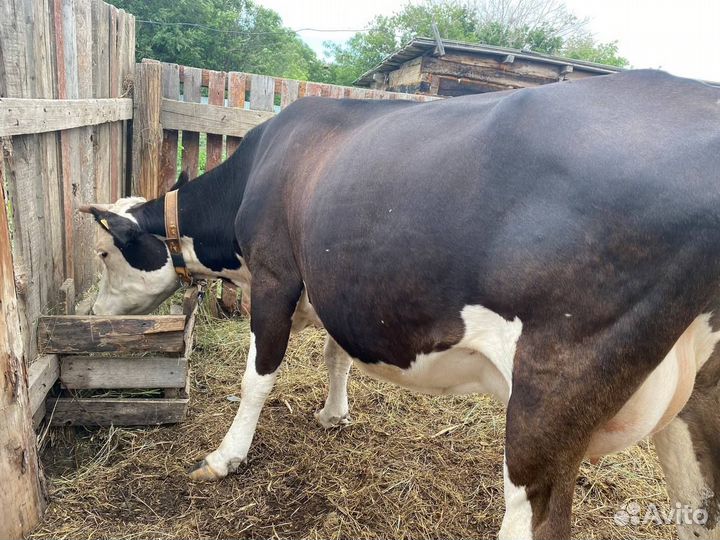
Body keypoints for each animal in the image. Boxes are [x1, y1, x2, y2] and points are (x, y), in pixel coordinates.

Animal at [79, 69, 720, 539]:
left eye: (105, 253)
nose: (90, 316)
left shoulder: (277, 275)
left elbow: (257, 378)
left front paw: (225, 456)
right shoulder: (335, 282)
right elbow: (336, 354)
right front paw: (334, 414)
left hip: (551, 399)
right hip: (696, 404)